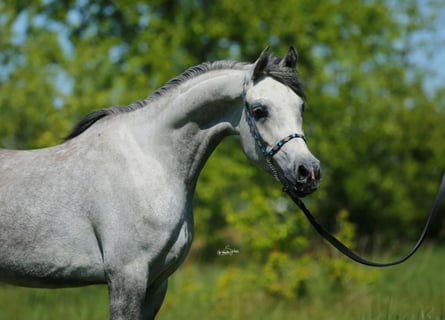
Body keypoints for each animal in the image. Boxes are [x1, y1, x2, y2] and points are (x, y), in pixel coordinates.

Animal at [0, 48, 320, 320]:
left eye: (302, 107)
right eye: (259, 110)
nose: (309, 172)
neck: (150, 160)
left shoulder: (156, 283)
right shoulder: (127, 277)